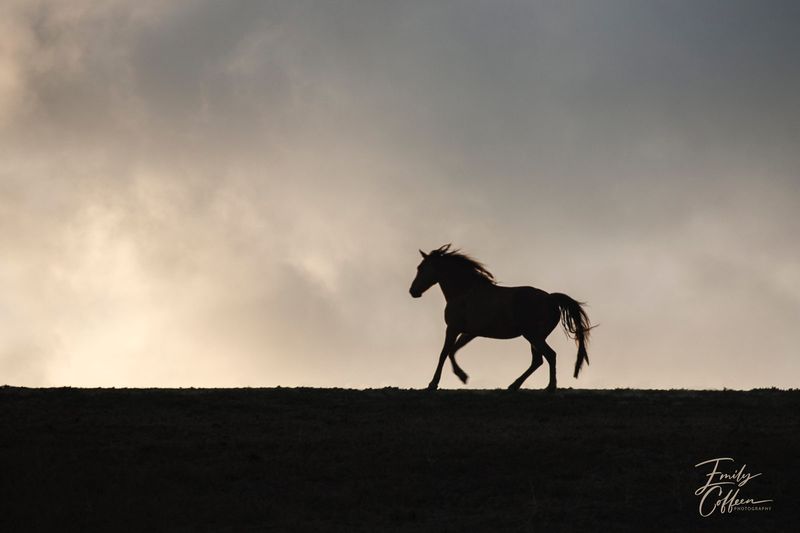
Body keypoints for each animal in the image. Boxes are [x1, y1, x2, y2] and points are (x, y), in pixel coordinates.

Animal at [409, 244, 593, 391]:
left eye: (421, 268)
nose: (413, 291)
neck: (464, 292)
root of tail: (551, 298)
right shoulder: (470, 332)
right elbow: (453, 351)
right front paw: (463, 376)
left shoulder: (452, 328)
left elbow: (444, 353)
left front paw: (433, 384)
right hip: (536, 336)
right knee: (538, 360)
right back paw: (514, 386)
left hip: (533, 335)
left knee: (549, 356)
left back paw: (550, 387)